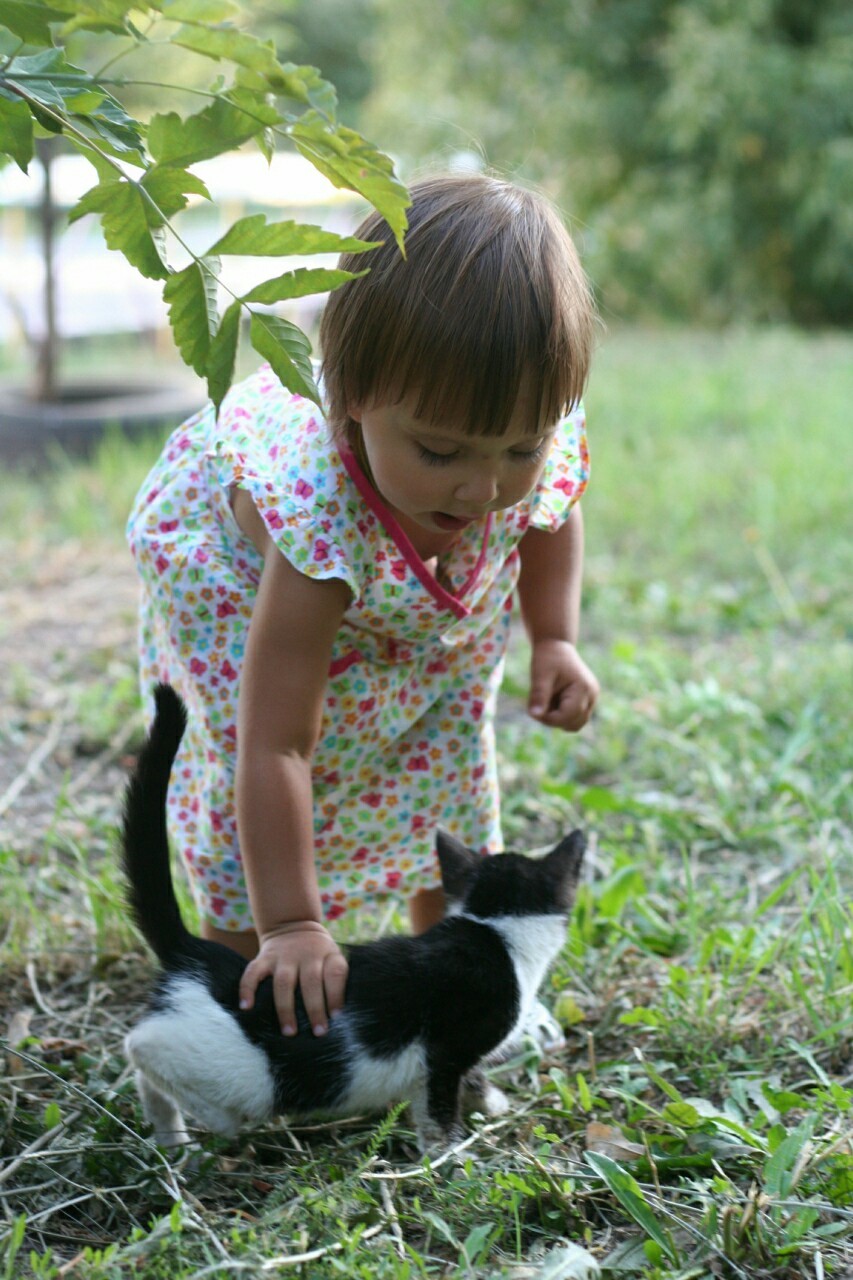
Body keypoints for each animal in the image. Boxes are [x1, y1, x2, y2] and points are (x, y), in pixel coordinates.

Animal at [121, 686, 584, 1157]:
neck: (492, 928)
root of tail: (195, 951)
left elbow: (462, 1083)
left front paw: (490, 1103)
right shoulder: (446, 1049)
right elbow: (438, 1108)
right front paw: (450, 1156)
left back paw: (172, 1140)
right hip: (238, 1068)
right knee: (143, 1048)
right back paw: (209, 1121)